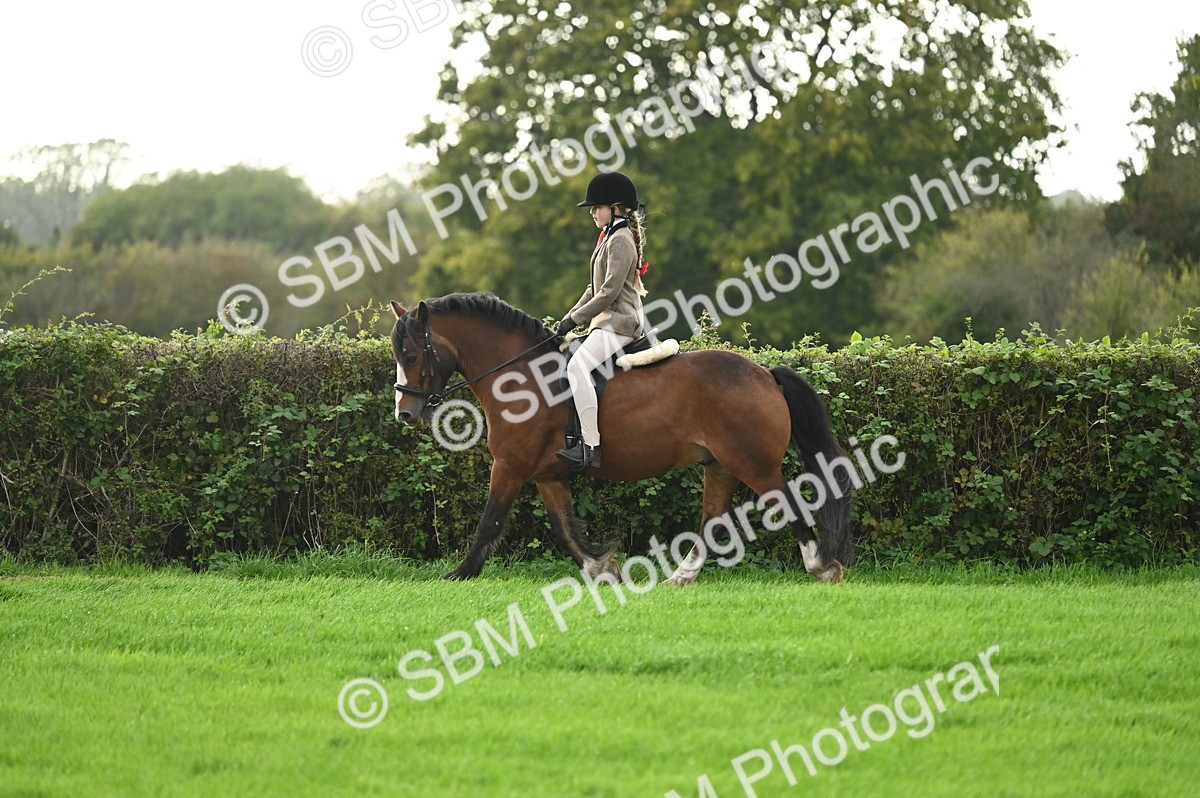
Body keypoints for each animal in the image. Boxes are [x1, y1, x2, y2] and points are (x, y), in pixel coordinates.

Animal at [389, 292, 853, 584]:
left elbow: (490, 521)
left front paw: (459, 574)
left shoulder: (510, 466)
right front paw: (603, 571)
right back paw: (680, 577)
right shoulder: (547, 476)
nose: (405, 414)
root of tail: (765, 373)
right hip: (720, 465)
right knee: (712, 518)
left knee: (787, 503)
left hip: (753, 463)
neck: (520, 377)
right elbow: (565, 529)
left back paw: (821, 567)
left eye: (411, 355)